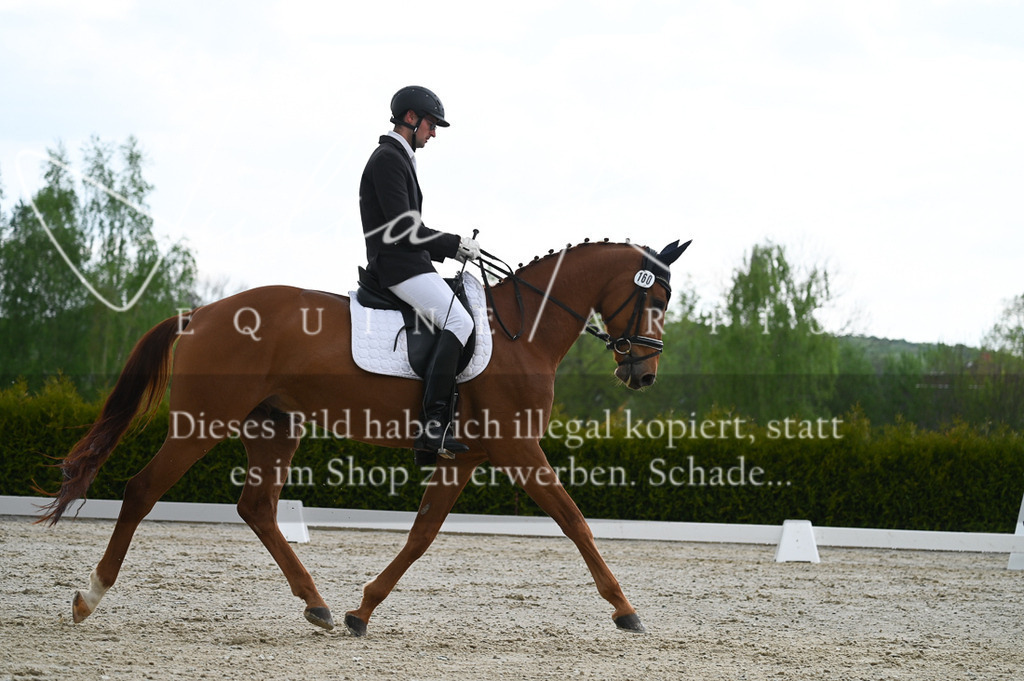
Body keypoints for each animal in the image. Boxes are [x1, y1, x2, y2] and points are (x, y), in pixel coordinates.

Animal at [38, 238, 690, 636]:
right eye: (656, 296)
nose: (644, 374)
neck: (519, 332)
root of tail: (200, 313)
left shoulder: (468, 455)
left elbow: (423, 534)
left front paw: (362, 610)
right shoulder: (517, 448)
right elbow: (575, 520)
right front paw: (626, 611)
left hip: (273, 427)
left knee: (257, 507)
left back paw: (318, 604)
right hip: (203, 424)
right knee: (142, 490)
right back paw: (89, 596)